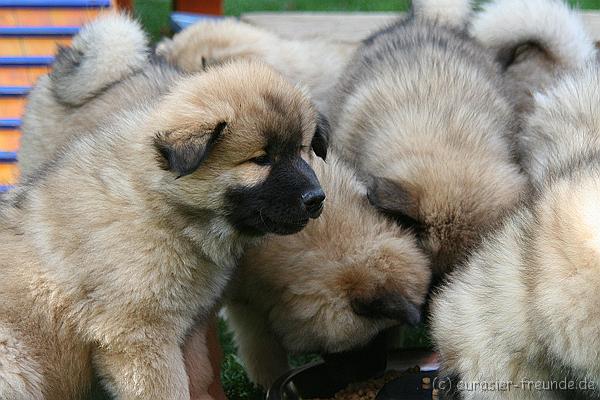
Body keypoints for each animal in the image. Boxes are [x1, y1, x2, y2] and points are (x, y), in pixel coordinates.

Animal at [0, 13, 326, 400]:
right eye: (261, 159)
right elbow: (169, 387)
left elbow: (198, 377)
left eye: (302, 150)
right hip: (16, 364)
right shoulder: (139, 337)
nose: (316, 198)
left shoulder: (187, 329)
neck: (162, 208)